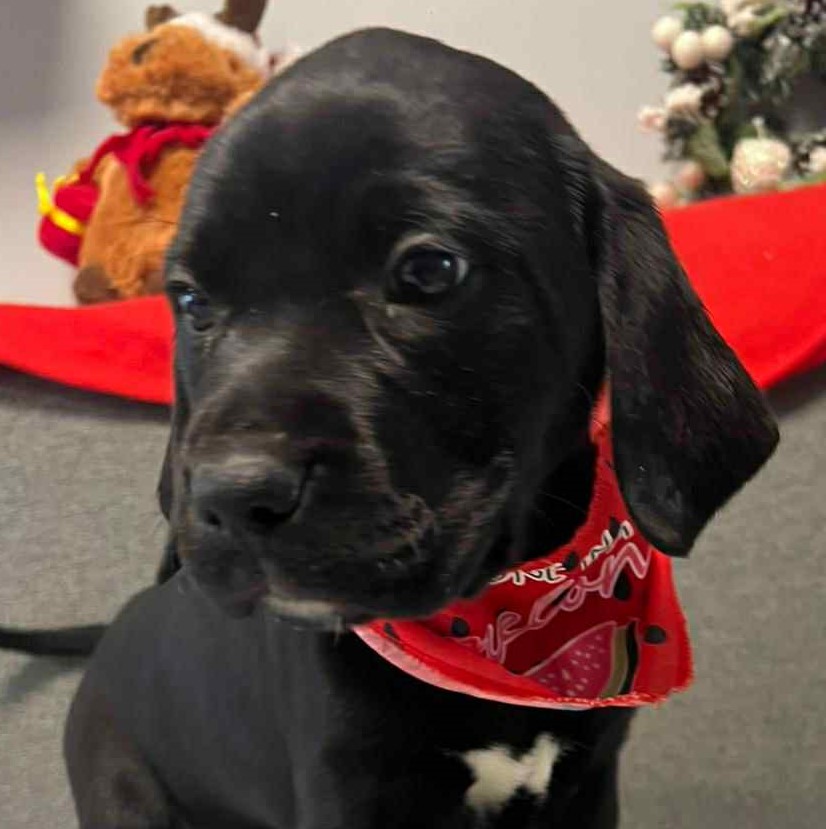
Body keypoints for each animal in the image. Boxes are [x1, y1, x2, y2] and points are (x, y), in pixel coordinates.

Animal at [3, 28, 778, 829]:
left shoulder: (588, 782)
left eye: (430, 269)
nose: (231, 497)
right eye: (191, 301)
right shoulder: (348, 787)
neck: (503, 617)